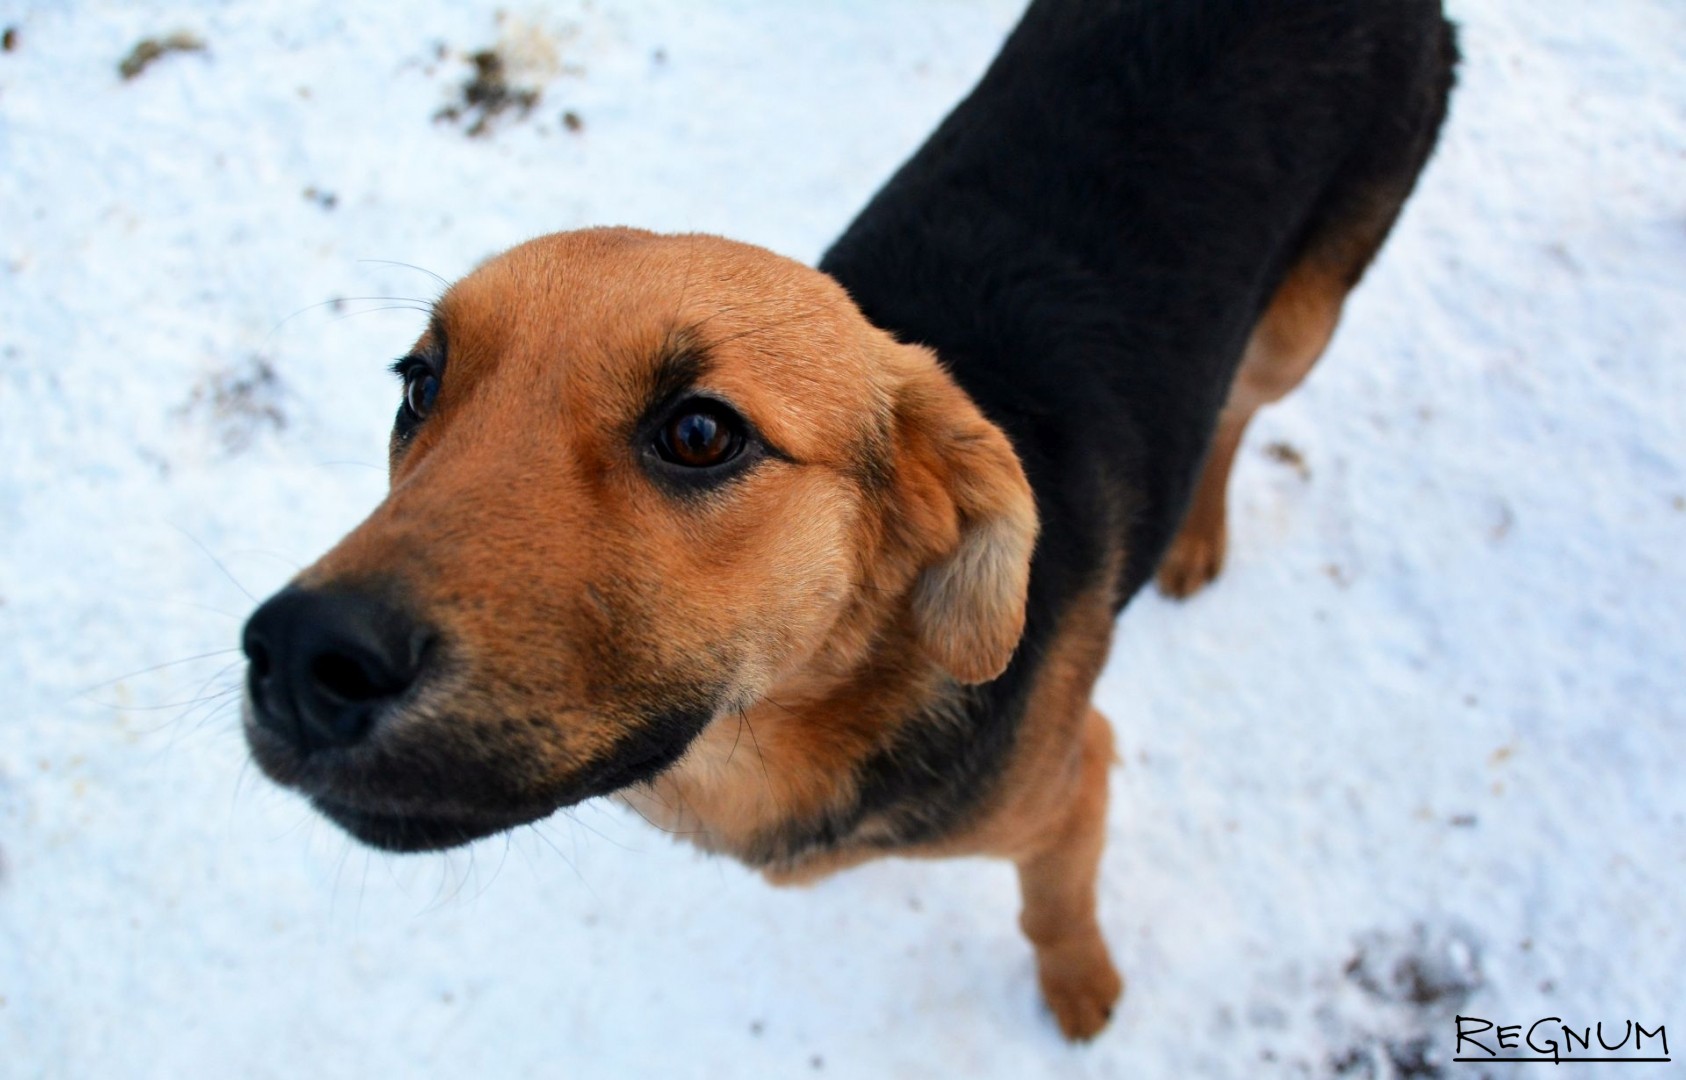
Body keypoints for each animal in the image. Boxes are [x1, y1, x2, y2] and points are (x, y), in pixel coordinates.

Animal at [241, 0, 1463, 1037]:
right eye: (418, 385)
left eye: (701, 432)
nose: (298, 656)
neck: (798, 716)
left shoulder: (1076, 776)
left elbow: (1051, 908)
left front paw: (1081, 992)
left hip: (1298, 324)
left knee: (1242, 411)